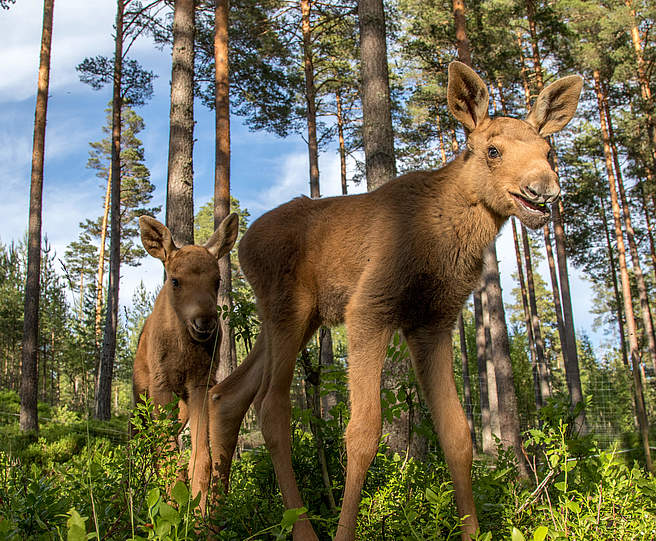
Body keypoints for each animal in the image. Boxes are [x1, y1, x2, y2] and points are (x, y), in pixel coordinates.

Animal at [132, 211, 237, 510]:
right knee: (137, 441)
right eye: (175, 280)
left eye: (217, 280)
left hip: (181, 407)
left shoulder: (200, 383)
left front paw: (199, 513)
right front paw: (171, 509)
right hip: (139, 395)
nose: (205, 323)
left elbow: (201, 459)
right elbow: (167, 456)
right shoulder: (161, 383)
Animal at [208, 61, 580, 536]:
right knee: (271, 407)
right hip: (290, 310)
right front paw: (344, 533)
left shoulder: (433, 322)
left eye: (549, 151)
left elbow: (458, 434)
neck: (448, 242)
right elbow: (364, 433)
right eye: (493, 151)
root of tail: (242, 244)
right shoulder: (370, 307)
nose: (543, 188)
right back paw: (302, 528)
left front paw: (472, 532)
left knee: (228, 394)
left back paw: (208, 514)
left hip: (294, 320)